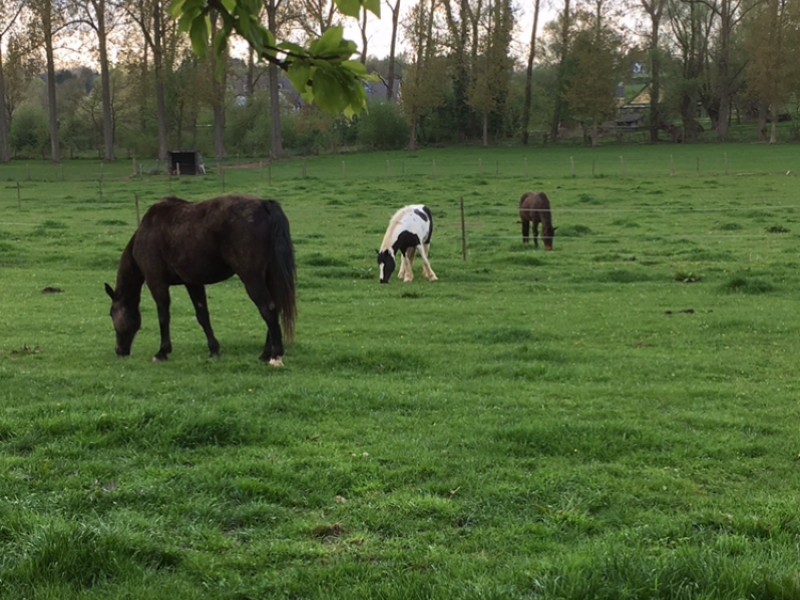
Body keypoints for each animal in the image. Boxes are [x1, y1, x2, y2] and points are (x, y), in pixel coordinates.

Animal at [104, 195, 296, 368]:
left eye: (112, 313)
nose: (119, 350)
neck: (145, 233)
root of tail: (265, 205)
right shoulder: (192, 282)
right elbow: (202, 315)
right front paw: (214, 350)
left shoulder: (156, 282)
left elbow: (163, 316)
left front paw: (162, 352)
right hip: (269, 276)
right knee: (275, 308)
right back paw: (265, 354)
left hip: (252, 278)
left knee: (268, 309)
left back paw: (275, 356)